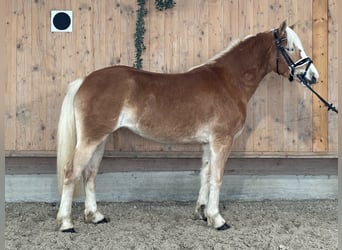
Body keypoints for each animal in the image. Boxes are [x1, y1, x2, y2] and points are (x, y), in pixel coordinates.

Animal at [54, 20, 320, 233]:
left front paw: (202, 213)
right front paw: (217, 219)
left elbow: (205, 175)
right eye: (291, 48)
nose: (314, 76)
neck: (228, 82)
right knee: (71, 173)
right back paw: (66, 223)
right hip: (90, 139)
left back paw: (95, 216)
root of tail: (85, 80)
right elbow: (217, 178)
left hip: (101, 138)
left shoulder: (208, 143)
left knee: (89, 174)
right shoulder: (222, 141)